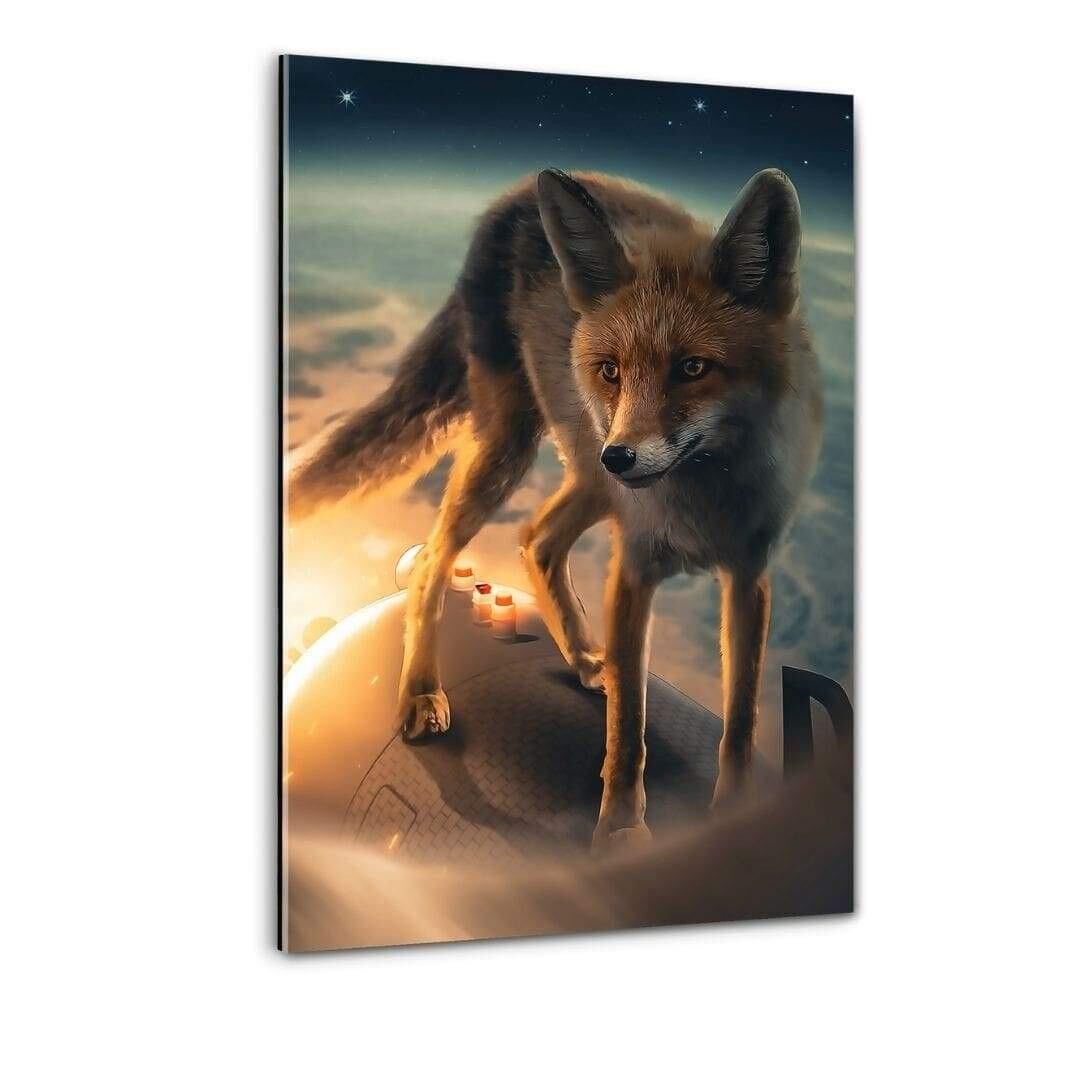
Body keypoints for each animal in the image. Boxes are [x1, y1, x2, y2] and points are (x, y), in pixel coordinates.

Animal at [288, 167, 823, 851]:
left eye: (693, 368)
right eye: (611, 371)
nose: (621, 456)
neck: (704, 498)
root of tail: (512, 196)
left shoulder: (749, 575)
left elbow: (741, 719)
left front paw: (733, 811)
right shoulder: (634, 568)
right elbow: (628, 734)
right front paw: (619, 833)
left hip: (584, 475)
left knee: (537, 538)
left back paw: (586, 659)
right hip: (515, 447)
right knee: (436, 555)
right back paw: (422, 693)